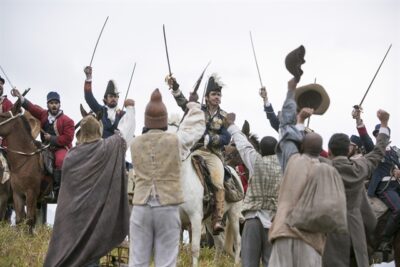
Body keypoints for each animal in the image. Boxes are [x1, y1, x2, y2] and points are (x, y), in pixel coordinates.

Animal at [167, 115, 242, 267]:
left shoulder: (195, 218)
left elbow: (195, 248)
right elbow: (176, 248)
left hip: (234, 214)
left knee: (238, 241)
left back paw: (236, 263)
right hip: (209, 221)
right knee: (219, 243)